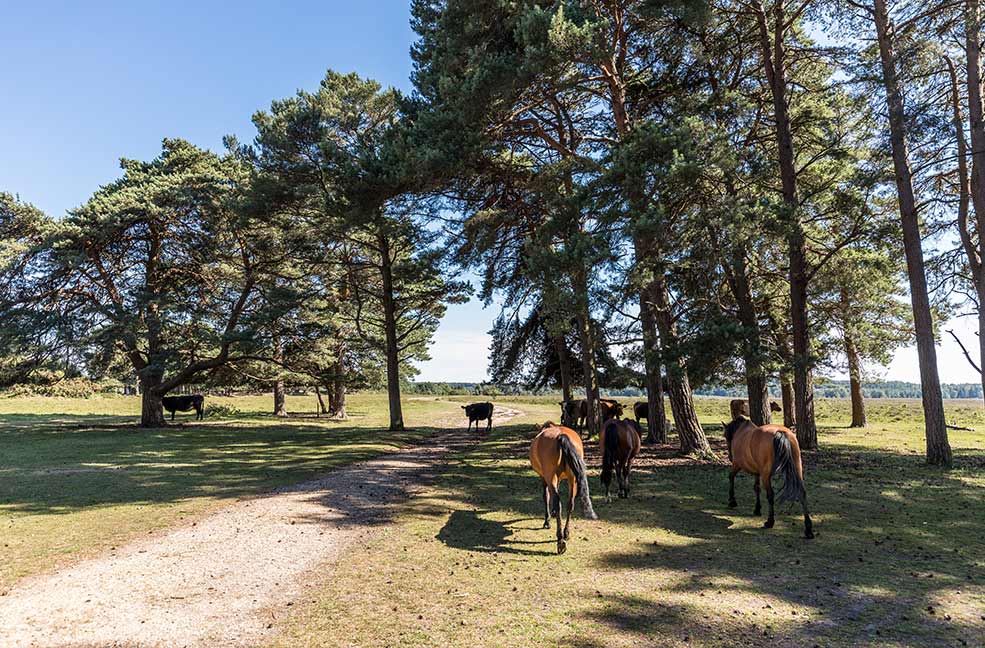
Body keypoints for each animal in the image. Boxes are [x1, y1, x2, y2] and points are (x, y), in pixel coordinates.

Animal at [532, 422, 600, 556]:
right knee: (570, 504)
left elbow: (546, 496)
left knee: (558, 503)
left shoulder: (544, 478)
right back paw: (566, 534)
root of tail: (561, 436)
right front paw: (552, 513)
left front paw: (547, 520)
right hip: (572, 478)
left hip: (551, 476)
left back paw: (560, 540)